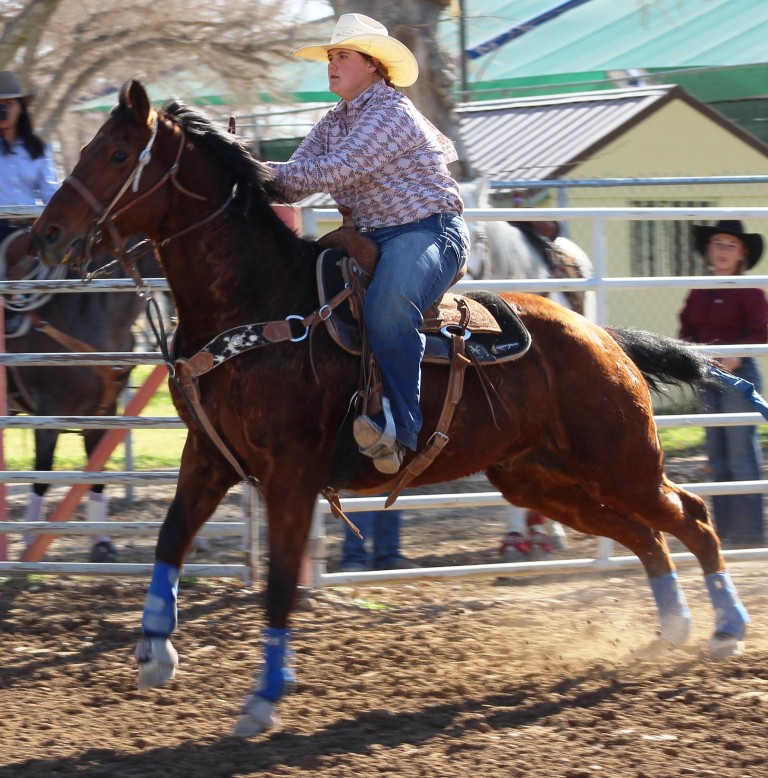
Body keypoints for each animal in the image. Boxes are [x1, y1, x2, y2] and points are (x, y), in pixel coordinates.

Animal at [2, 228, 161, 561]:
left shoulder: (103, 414)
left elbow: (96, 476)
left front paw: (102, 543)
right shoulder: (48, 415)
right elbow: (42, 476)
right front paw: (31, 540)